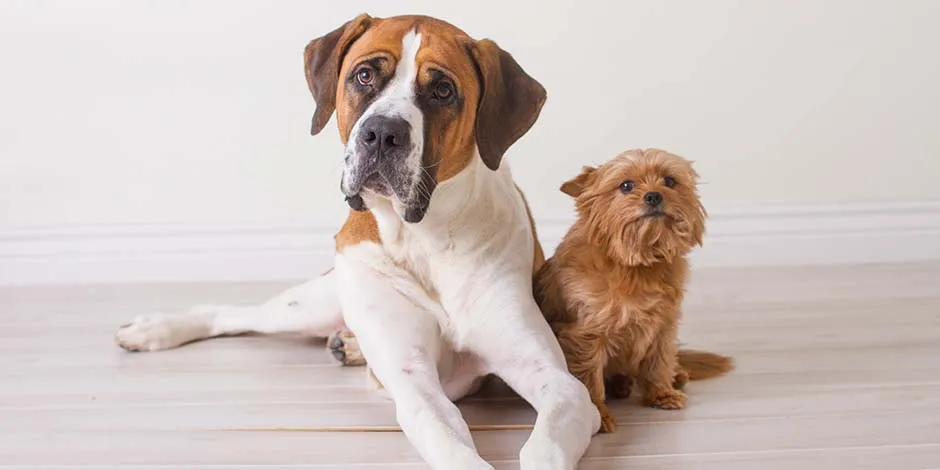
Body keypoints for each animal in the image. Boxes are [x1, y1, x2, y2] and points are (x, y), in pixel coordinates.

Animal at [115, 13, 604, 470]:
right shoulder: (417, 386)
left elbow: (546, 442)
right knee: (233, 313)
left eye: (442, 90)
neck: (424, 237)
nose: (383, 132)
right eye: (365, 76)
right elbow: (449, 441)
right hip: (312, 303)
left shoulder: (558, 383)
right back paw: (155, 328)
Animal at [536, 149, 736, 432]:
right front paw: (598, 415)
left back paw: (674, 376)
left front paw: (661, 393)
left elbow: (658, 363)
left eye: (670, 181)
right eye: (626, 185)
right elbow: (589, 379)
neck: (637, 264)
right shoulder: (585, 337)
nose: (653, 195)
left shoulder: (663, 327)